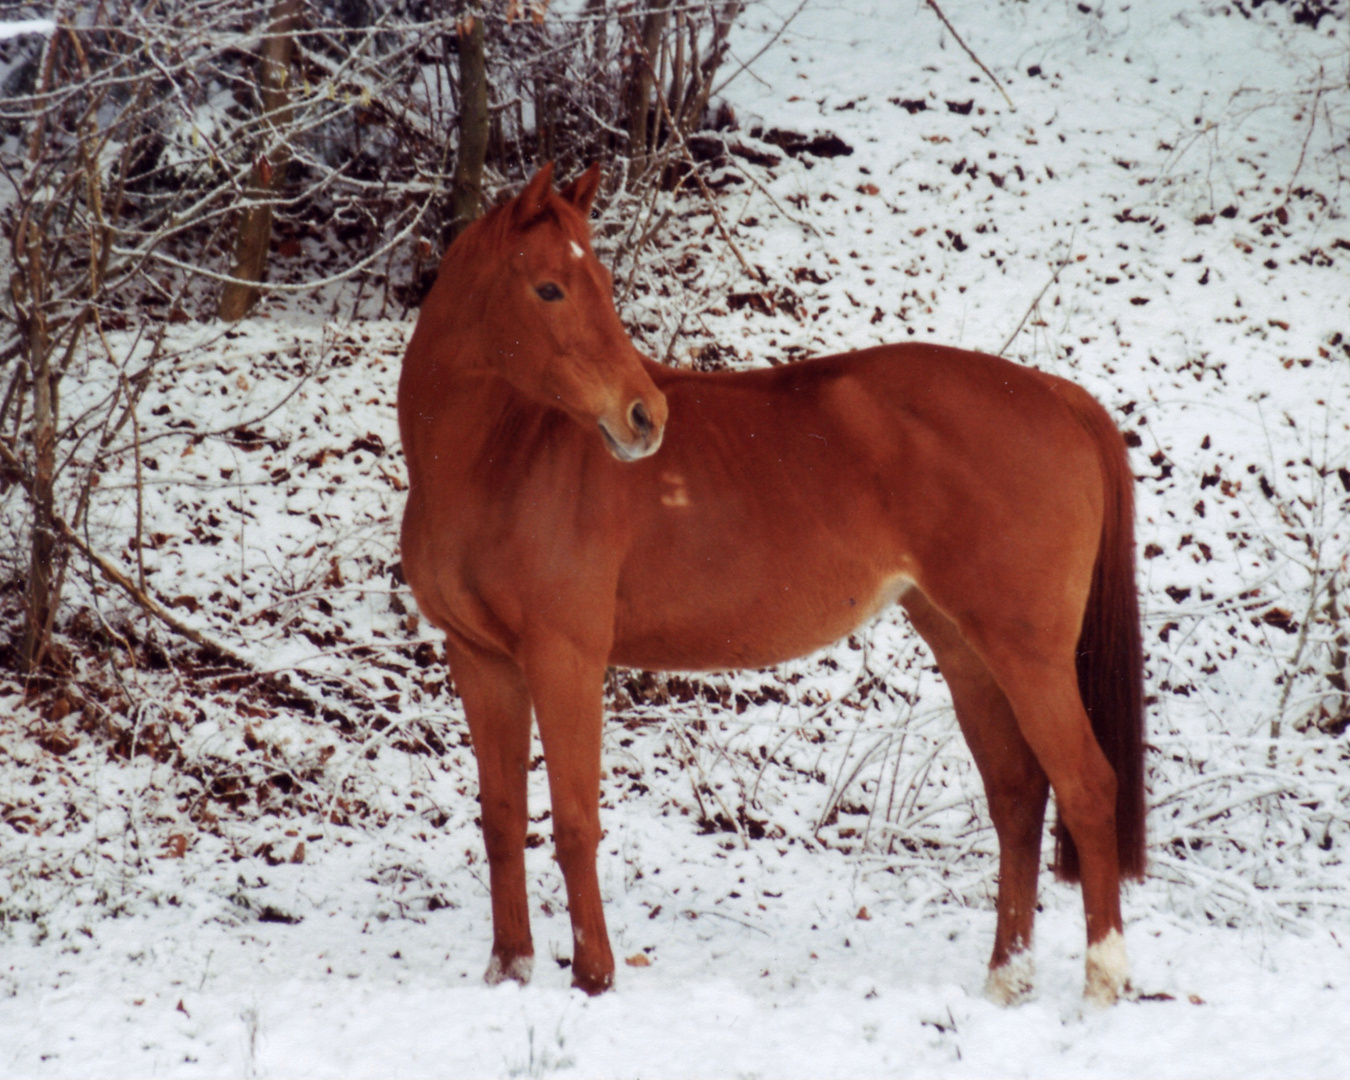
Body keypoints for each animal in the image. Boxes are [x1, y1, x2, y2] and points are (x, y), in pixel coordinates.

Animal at [394, 164, 1144, 1009]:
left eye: (603, 283)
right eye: (550, 288)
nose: (643, 416)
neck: (497, 462)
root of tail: (1058, 396)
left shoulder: (565, 660)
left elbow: (575, 821)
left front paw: (593, 979)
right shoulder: (480, 661)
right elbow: (501, 817)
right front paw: (509, 969)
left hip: (1030, 653)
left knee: (1087, 787)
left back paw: (1102, 981)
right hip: (967, 648)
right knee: (1018, 797)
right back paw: (1005, 980)